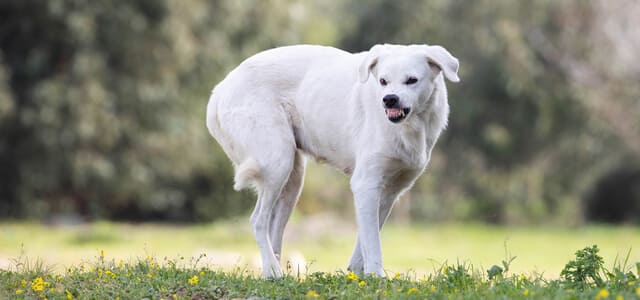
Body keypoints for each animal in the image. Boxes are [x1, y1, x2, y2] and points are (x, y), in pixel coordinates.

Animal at [208, 43, 458, 278]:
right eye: (383, 81)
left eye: (412, 80)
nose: (389, 100)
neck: (411, 126)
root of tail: (220, 89)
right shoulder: (366, 184)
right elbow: (373, 243)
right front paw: (376, 277)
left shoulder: (390, 191)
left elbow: (365, 240)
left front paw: (356, 274)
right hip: (277, 164)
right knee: (257, 221)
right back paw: (272, 271)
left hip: (293, 180)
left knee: (273, 228)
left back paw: (276, 274)